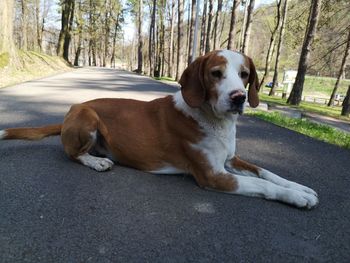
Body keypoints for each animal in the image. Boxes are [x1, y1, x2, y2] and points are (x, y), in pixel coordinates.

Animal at [0, 50, 318, 209]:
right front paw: (296, 197)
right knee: (73, 154)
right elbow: (264, 185)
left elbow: (266, 173)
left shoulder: (230, 160)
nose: (239, 97)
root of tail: (68, 115)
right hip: (87, 116)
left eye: (245, 75)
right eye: (216, 74)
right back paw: (98, 161)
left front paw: (299, 187)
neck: (214, 121)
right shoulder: (212, 176)